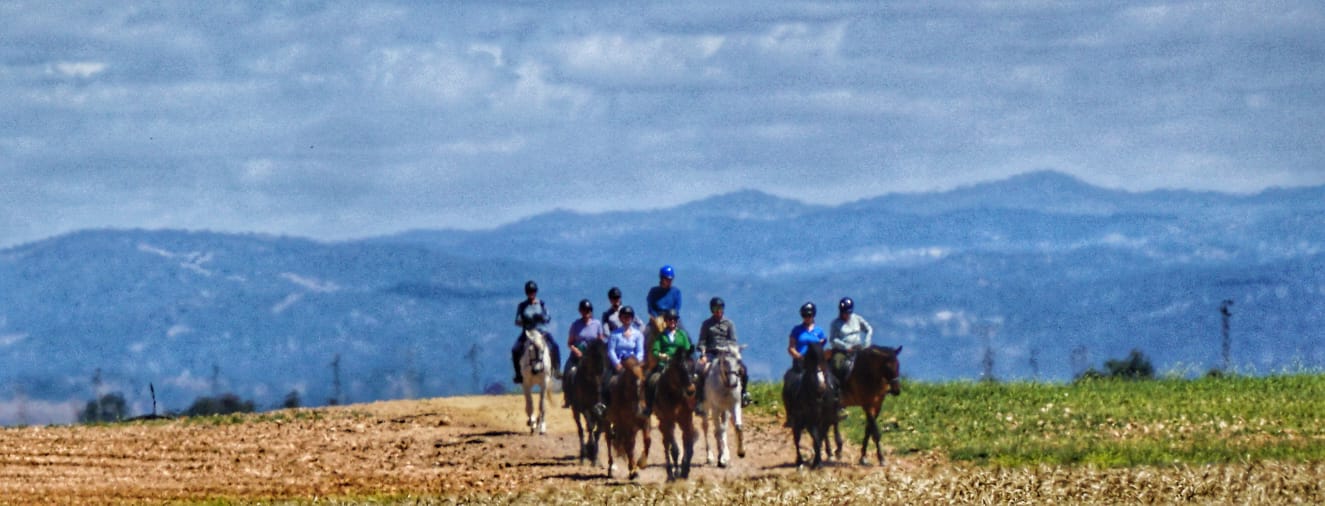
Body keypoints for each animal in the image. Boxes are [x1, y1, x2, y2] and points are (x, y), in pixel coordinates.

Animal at [651, 351, 698, 480]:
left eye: (693, 366)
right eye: (681, 368)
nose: (691, 391)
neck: (676, 395)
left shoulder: (686, 421)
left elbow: (689, 446)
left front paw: (685, 470)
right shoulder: (668, 421)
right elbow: (675, 449)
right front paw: (676, 473)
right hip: (663, 422)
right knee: (666, 444)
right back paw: (670, 472)